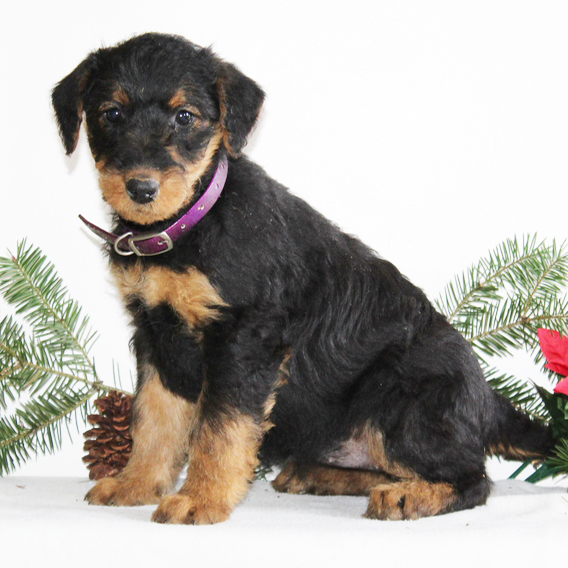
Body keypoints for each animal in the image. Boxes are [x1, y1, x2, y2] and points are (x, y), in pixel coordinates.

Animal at [50, 34, 556, 524]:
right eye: (111, 114)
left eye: (184, 116)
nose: (141, 189)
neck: (194, 224)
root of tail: (486, 398)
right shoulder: (157, 336)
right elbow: (154, 420)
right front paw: (135, 484)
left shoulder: (243, 339)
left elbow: (220, 429)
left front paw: (200, 500)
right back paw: (316, 474)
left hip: (397, 404)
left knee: (473, 478)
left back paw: (406, 497)